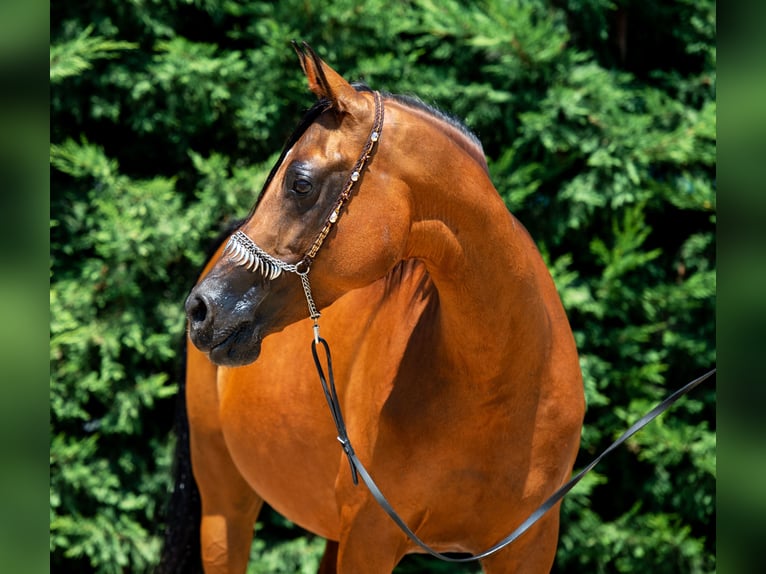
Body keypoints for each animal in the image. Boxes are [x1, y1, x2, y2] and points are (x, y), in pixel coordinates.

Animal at [160, 45, 584, 574]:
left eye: (300, 183)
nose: (201, 308)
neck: (496, 387)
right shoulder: (370, 537)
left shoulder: (529, 547)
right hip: (224, 507)